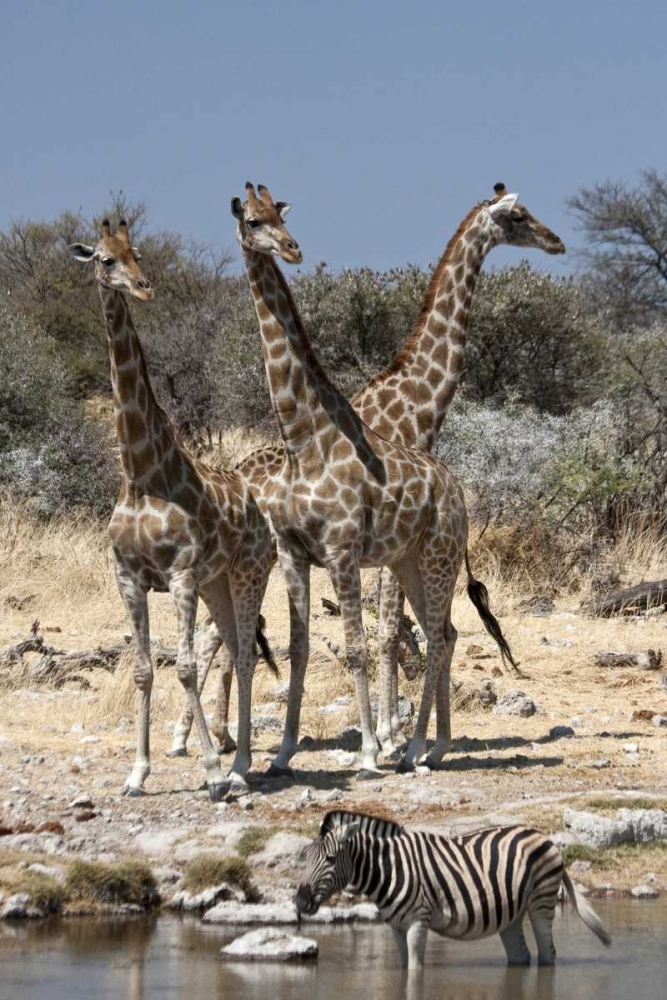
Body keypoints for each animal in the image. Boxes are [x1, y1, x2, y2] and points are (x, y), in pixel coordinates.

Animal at [67, 219, 274, 797]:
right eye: (105, 260)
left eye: (136, 253)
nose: (143, 287)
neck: (141, 476)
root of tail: (260, 514)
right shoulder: (129, 578)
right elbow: (143, 669)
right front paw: (137, 773)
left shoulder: (179, 573)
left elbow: (182, 666)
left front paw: (210, 771)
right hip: (216, 583)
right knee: (233, 646)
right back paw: (236, 760)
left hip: (249, 573)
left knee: (244, 653)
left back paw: (239, 765)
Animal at [170, 184, 564, 758]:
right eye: (518, 215)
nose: (555, 241)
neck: (419, 401)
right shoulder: (368, 549)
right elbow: (386, 632)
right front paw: (388, 733)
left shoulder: (377, 546)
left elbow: (390, 632)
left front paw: (391, 732)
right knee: (222, 632)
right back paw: (202, 737)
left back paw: (208, 736)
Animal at [295, 810, 611, 969]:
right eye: (304, 857)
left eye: (330, 859)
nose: (300, 901)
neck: (390, 869)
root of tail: (543, 836)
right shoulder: (395, 926)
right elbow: (403, 967)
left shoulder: (418, 921)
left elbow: (415, 970)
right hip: (512, 913)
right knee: (521, 956)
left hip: (541, 902)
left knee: (548, 955)